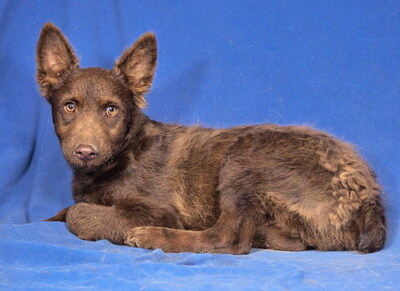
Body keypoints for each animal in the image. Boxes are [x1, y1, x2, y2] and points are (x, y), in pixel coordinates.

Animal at [36, 22, 386, 254]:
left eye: (111, 109)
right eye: (69, 106)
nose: (86, 152)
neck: (123, 151)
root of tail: (369, 197)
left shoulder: (159, 210)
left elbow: (78, 213)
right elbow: (68, 208)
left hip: (244, 161)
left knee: (229, 239)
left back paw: (152, 237)